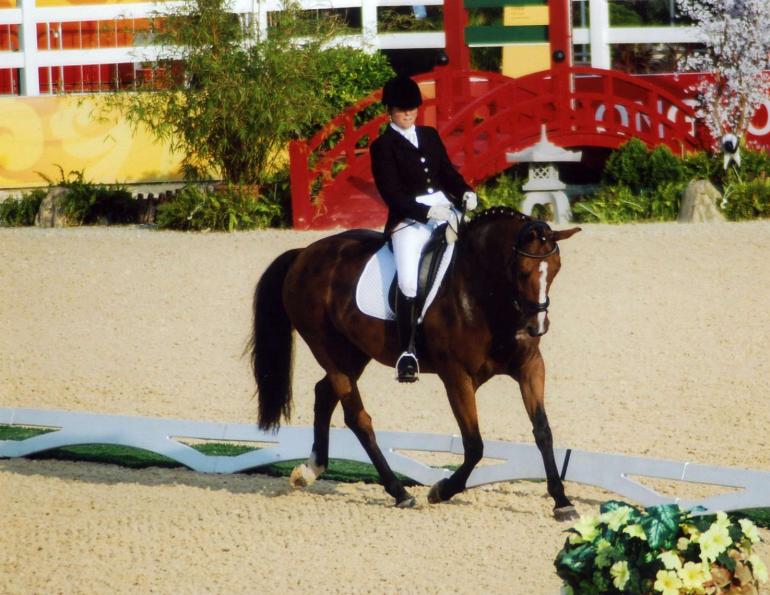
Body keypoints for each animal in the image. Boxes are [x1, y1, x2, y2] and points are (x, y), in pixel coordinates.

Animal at [249, 207, 581, 519]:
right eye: (522, 271)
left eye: (555, 269)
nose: (537, 327)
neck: (482, 292)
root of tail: (304, 254)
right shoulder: (457, 376)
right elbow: (474, 445)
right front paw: (441, 490)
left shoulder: (530, 367)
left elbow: (543, 432)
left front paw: (562, 502)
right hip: (330, 352)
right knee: (358, 418)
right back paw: (399, 492)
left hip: (353, 353)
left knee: (324, 394)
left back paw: (310, 471)